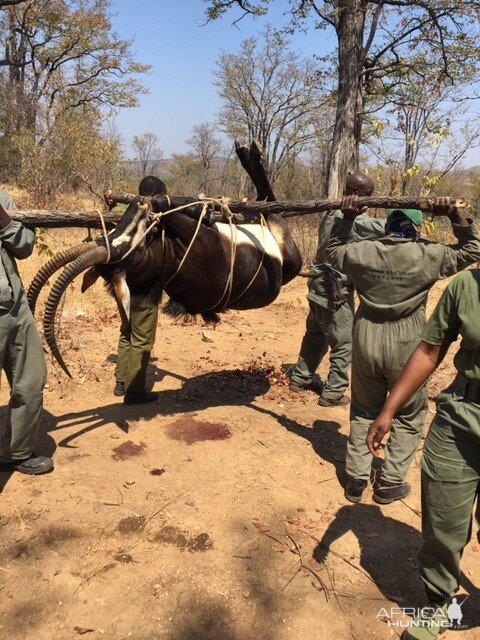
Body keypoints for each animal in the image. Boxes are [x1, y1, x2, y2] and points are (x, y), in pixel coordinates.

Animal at [28, 141, 302, 376]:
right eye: (127, 246)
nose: (139, 202)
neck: (169, 261)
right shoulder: (201, 240)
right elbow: (165, 202)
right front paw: (185, 206)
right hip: (287, 249)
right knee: (271, 205)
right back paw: (250, 154)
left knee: (260, 206)